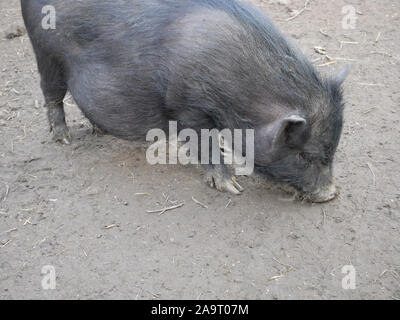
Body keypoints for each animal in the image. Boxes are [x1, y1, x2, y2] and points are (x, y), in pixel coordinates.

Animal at [21, 0, 346, 202]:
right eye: (305, 155)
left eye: (332, 152)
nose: (331, 195)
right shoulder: (189, 107)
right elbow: (206, 144)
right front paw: (232, 187)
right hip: (46, 55)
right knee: (51, 95)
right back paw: (63, 139)